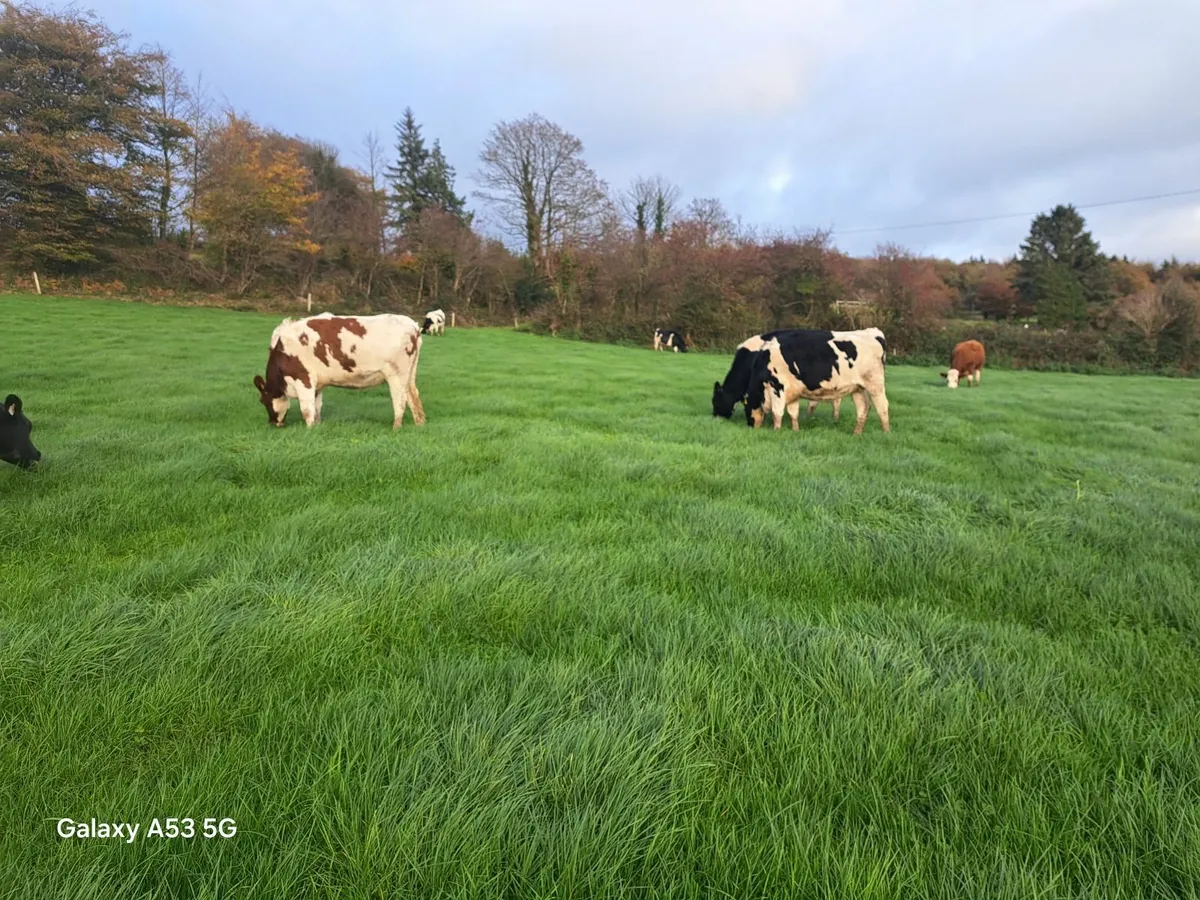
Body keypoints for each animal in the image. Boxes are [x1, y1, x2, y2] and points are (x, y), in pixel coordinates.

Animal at [252, 312, 426, 430]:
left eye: (262, 400)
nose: (273, 423)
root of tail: (413, 324)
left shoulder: (303, 379)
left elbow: (307, 410)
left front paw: (309, 429)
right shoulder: (318, 385)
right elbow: (316, 408)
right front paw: (316, 427)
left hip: (396, 374)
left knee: (400, 400)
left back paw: (396, 427)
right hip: (409, 375)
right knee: (413, 396)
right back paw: (419, 424)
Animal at [743, 328, 890, 435]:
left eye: (746, 406)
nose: (749, 425)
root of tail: (872, 332)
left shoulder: (778, 387)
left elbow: (777, 412)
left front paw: (776, 431)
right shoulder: (792, 391)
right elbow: (793, 413)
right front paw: (795, 430)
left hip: (875, 384)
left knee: (882, 406)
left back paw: (886, 432)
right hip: (858, 387)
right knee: (863, 407)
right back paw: (856, 433)